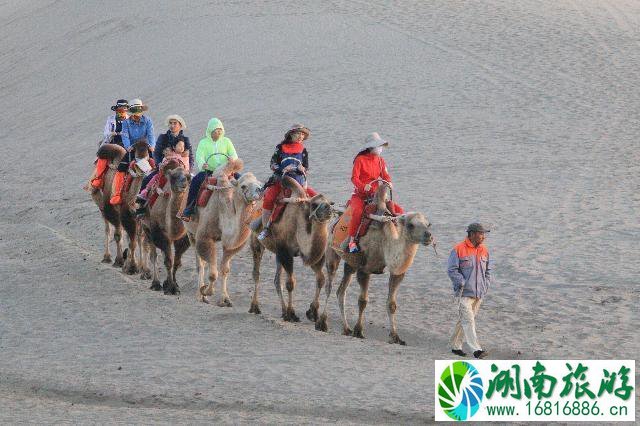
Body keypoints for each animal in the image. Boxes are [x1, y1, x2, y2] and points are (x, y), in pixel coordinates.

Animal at [139, 158, 191, 294]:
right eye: (173, 177)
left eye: (188, 177)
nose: (183, 183)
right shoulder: (158, 232)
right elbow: (168, 261)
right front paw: (171, 288)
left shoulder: (182, 237)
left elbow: (176, 261)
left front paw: (174, 285)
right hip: (147, 227)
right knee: (153, 254)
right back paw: (155, 283)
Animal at [184, 160, 264, 306]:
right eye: (243, 186)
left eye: (260, 183)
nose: (260, 190)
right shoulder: (204, 237)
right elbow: (212, 273)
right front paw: (206, 292)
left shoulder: (230, 246)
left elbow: (224, 270)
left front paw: (225, 299)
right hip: (190, 232)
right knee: (200, 264)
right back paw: (199, 294)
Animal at [249, 177, 336, 322]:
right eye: (314, 204)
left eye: (329, 202)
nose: (328, 208)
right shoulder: (286, 252)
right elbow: (290, 283)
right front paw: (292, 314)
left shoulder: (309, 255)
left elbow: (321, 279)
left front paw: (313, 312)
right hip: (256, 241)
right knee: (256, 273)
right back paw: (255, 307)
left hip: (277, 252)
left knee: (276, 280)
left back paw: (283, 311)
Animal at [320, 184, 436, 346]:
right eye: (411, 225)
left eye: (428, 224)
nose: (428, 236)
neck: (386, 243)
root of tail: (336, 219)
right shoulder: (365, 269)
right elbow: (363, 301)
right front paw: (359, 331)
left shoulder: (397, 272)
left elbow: (391, 304)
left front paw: (395, 337)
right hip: (332, 252)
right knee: (329, 286)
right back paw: (322, 323)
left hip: (350, 263)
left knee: (341, 291)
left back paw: (346, 328)